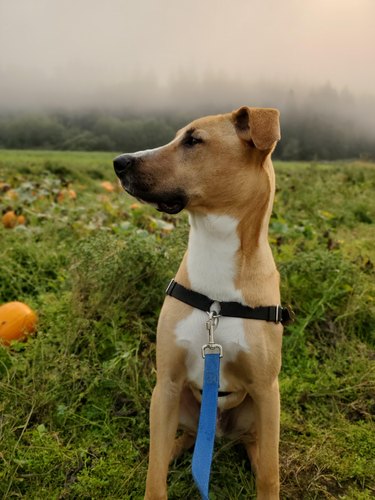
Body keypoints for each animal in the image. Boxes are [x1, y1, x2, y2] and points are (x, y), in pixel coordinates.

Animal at [114, 106, 284, 500]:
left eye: (193, 140)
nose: (119, 162)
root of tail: (218, 433)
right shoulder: (167, 383)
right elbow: (155, 473)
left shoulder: (267, 390)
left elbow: (270, 475)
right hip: (176, 403)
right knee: (177, 443)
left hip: (257, 409)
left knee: (256, 449)